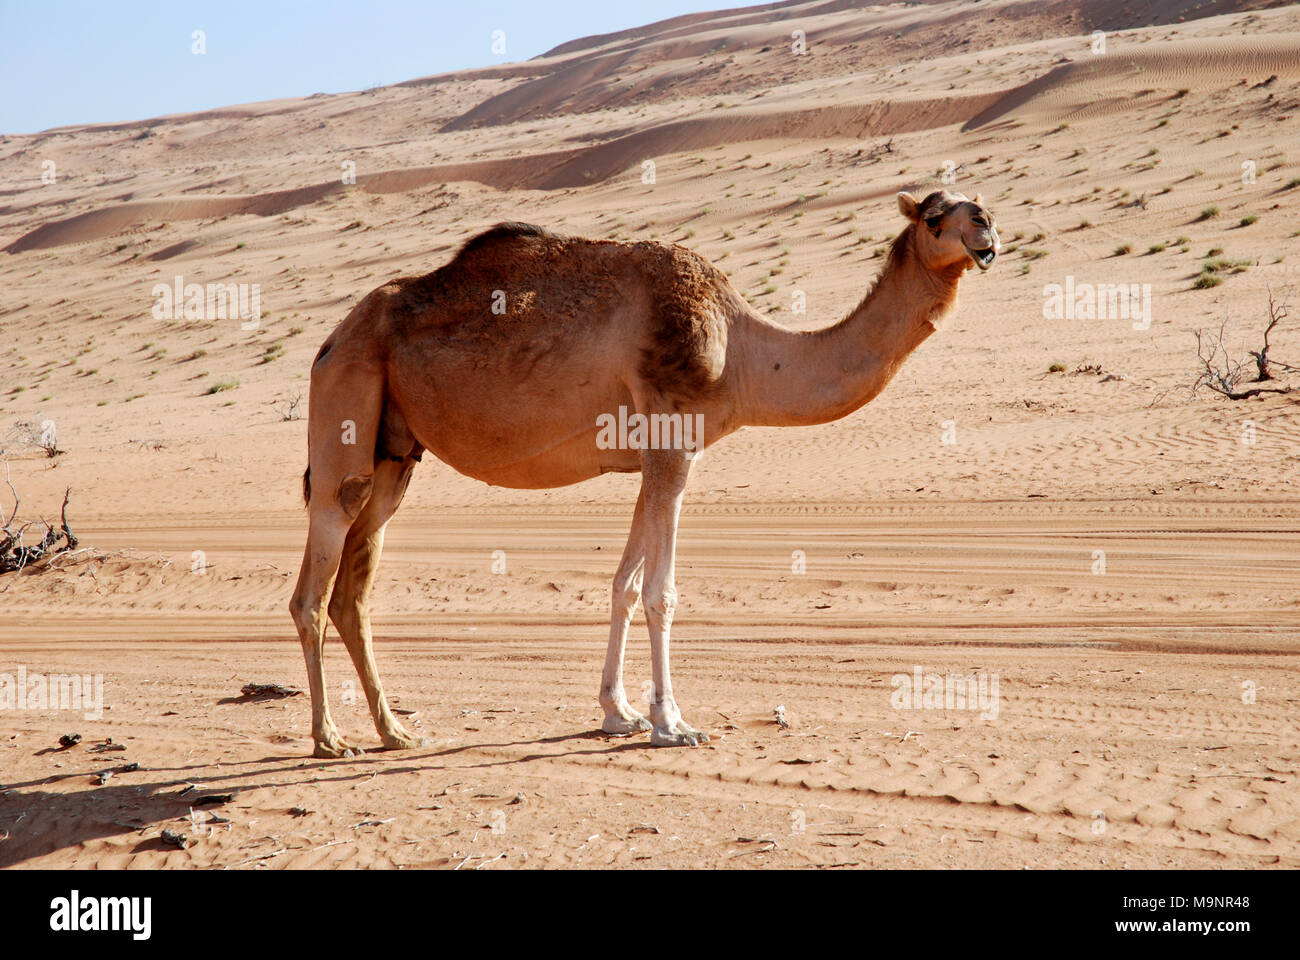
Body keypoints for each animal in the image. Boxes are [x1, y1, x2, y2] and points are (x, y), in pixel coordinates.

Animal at [289, 188, 998, 754]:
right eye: (936, 218)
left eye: (972, 202)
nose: (987, 228)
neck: (746, 351)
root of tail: (329, 339)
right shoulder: (673, 441)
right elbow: (662, 592)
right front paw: (671, 723)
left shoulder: (653, 456)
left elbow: (623, 586)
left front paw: (618, 712)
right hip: (347, 396)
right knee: (316, 578)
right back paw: (330, 739)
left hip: (395, 450)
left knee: (354, 588)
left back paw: (395, 731)